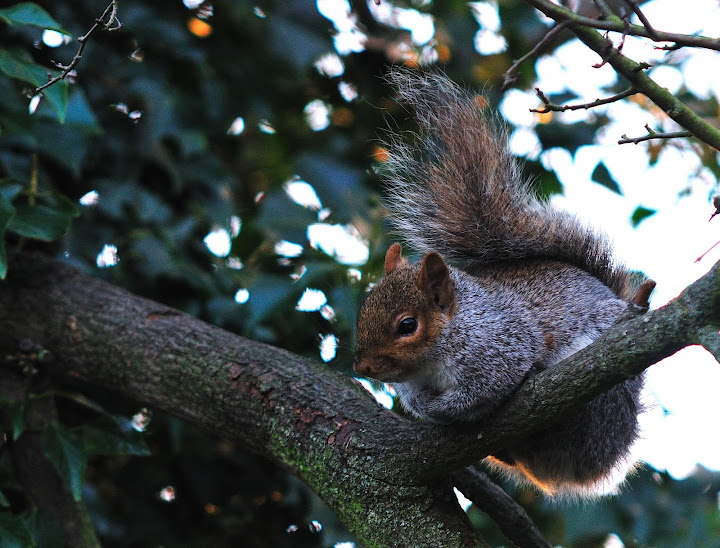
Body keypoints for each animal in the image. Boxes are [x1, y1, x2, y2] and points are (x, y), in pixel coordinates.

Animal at [353, 68, 644, 497]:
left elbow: (488, 385)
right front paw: (424, 408)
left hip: (602, 393)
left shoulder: (499, 343)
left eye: (407, 325)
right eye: (363, 310)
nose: (363, 367)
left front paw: (444, 407)